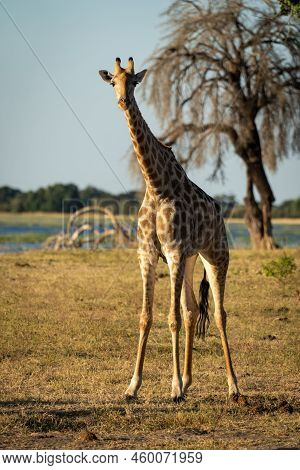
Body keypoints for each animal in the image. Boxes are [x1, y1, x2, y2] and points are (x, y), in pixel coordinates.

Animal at [99, 57, 240, 402]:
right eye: (113, 82)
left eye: (135, 81)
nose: (123, 101)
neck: (156, 185)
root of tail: (219, 214)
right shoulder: (148, 255)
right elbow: (146, 317)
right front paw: (133, 386)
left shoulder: (174, 252)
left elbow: (171, 318)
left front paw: (173, 389)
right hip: (190, 260)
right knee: (192, 310)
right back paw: (188, 381)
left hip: (216, 255)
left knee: (219, 314)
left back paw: (233, 386)